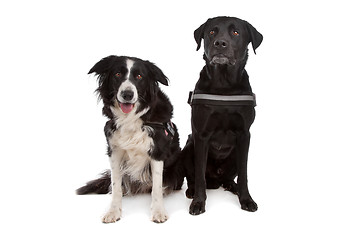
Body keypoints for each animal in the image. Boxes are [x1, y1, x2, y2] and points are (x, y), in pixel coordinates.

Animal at [77, 55, 184, 223]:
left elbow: (157, 186)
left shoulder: (158, 151)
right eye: (117, 74)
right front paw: (113, 211)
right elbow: (115, 186)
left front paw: (158, 211)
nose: (127, 94)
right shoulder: (114, 151)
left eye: (139, 76)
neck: (131, 119)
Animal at [181, 17, 262, 216]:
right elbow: (199, 175)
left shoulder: (244, 135)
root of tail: (215, 180)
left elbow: (244, 174)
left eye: (236, 32)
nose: (220, 43)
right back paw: (191, 191)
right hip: (188, 147)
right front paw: (198, 202)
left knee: (231, 176)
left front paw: (246, 199)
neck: (224, 86)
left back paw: (232, 186)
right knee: (195, 177)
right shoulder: (201, 135)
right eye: (212, 32)